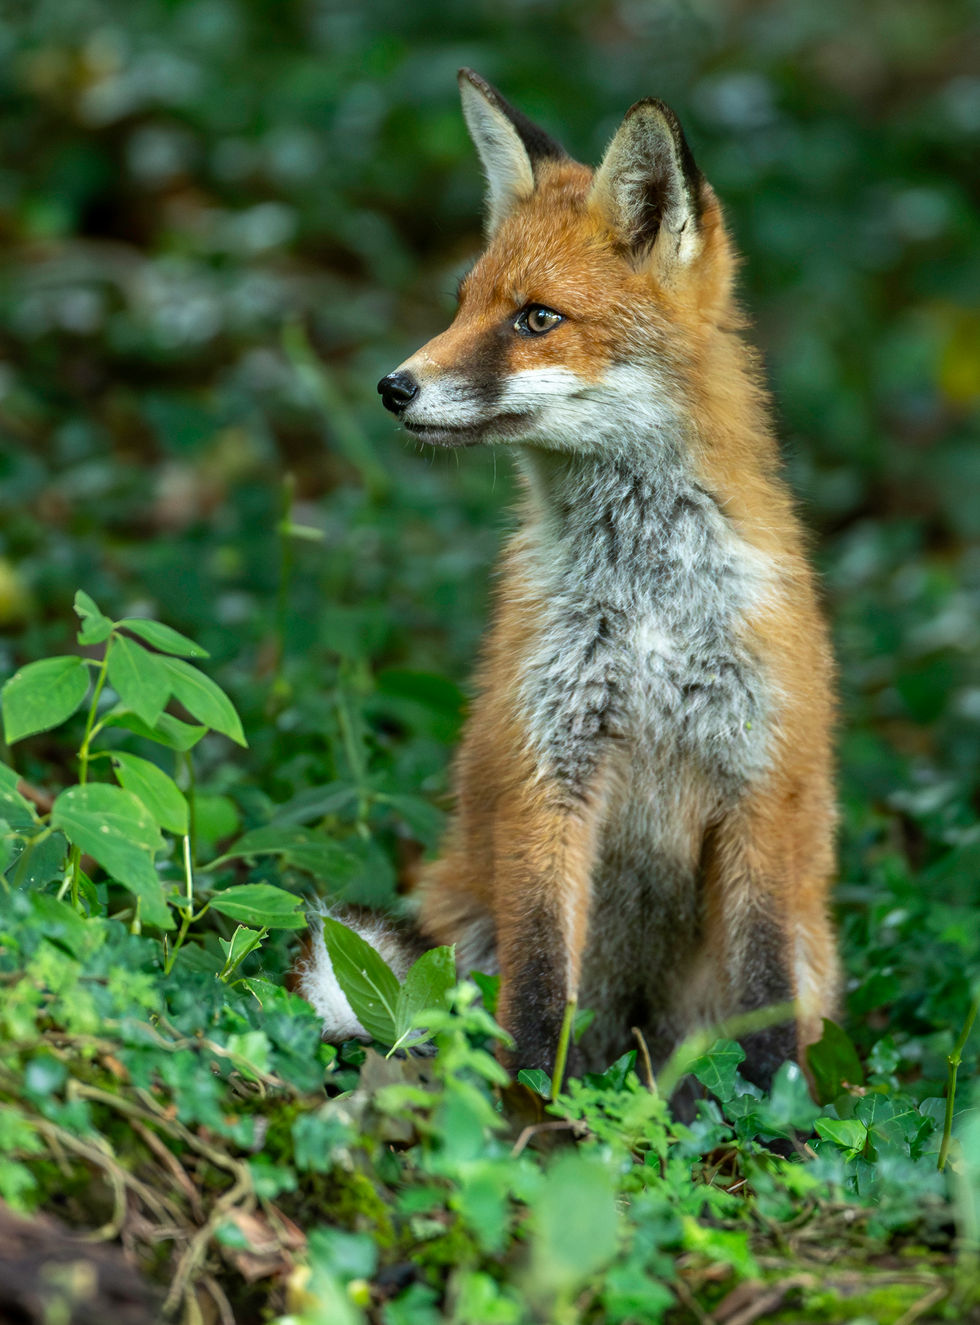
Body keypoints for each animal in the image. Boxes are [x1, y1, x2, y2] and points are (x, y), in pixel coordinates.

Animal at [300, 69, 839, 1089]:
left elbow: (763, 1007)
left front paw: (777, 1122)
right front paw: (523, 1107)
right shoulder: (548, 767)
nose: (393, 387)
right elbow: (541, 981)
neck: (649, 605)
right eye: (462, 301)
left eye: (536, 318)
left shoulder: (761, 783)